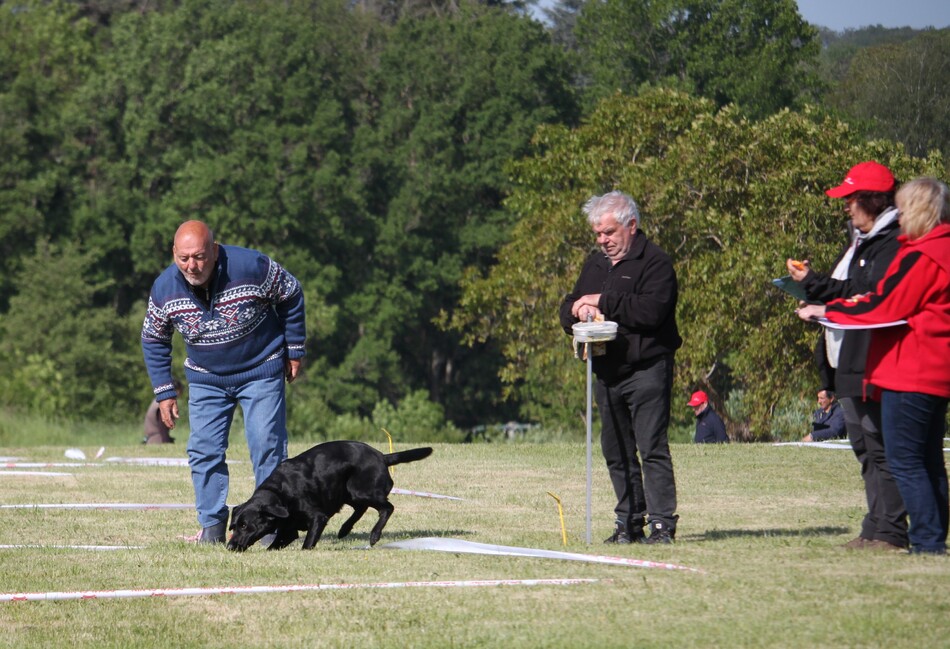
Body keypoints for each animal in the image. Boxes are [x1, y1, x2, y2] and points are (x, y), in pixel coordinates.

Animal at [225, 438, 434, 548]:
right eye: (233, 526)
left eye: (244, 526)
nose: (229, 546)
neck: (280, 494)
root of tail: (382, 456)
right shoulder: (288, 530)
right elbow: (274, 545)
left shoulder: (318, 517)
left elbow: (307, 543)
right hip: (347, 492)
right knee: (361, 508)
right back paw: (344, 529)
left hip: (361, 491)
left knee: (387, 507)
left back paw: (374, 535)